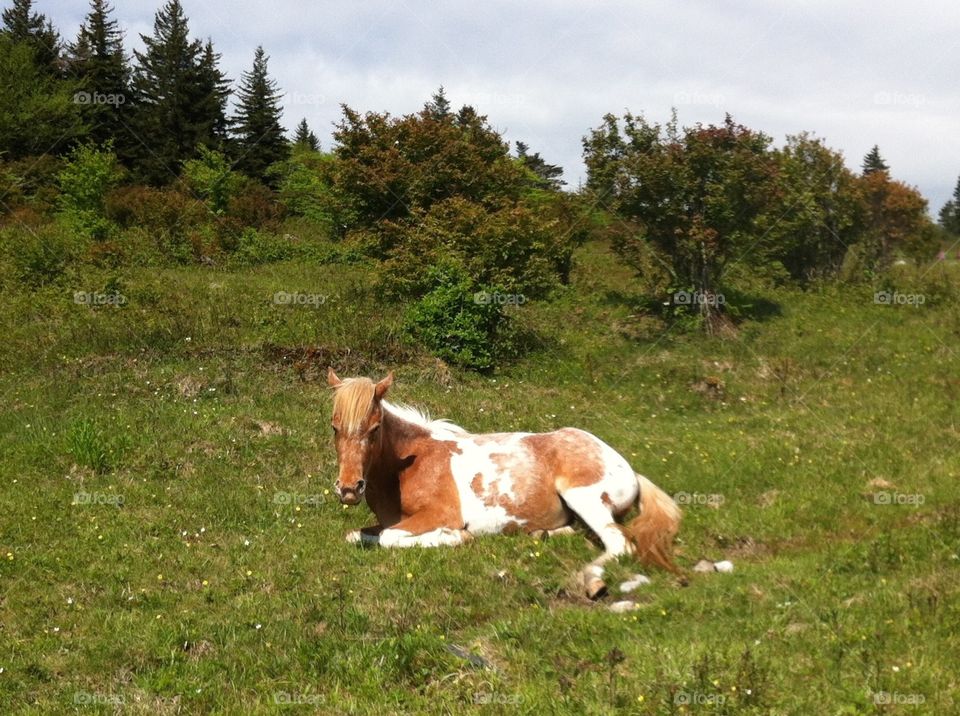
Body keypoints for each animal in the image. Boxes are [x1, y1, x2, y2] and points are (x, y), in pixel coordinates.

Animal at [326, 368, 681, 598]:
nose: (349, 489)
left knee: (619, 545)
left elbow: (389, 537)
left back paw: (588, 578)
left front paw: (456, 537)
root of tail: (627, 468)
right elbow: (355, 536)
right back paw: (541, 535)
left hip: (585, 497)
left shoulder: (440, 514)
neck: (409, 465)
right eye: (334, 427)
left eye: (374, 429)